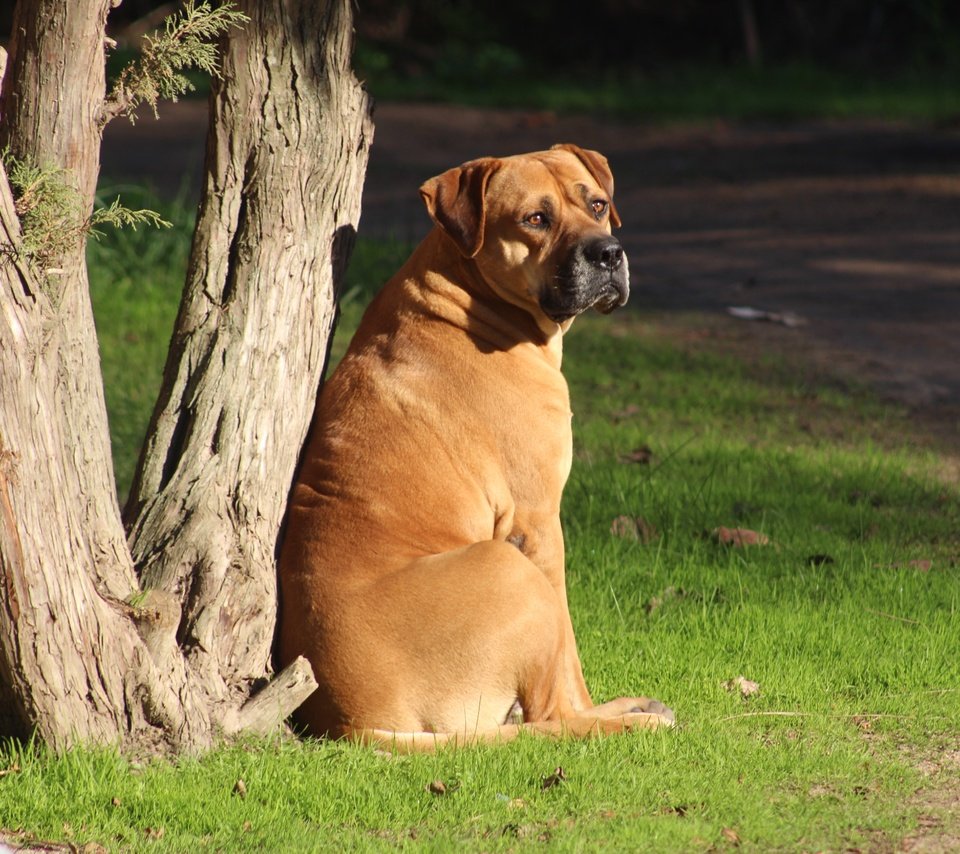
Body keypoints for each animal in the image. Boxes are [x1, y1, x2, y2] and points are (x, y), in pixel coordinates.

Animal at [280, 144, 676, 752]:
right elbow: (570, 655)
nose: (608, 253)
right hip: (509, 569)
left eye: (597, 204)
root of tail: (351, 725)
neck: (470, 294)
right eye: (535, 219)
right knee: (551, 717)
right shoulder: (538, 524)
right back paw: (626, 721)